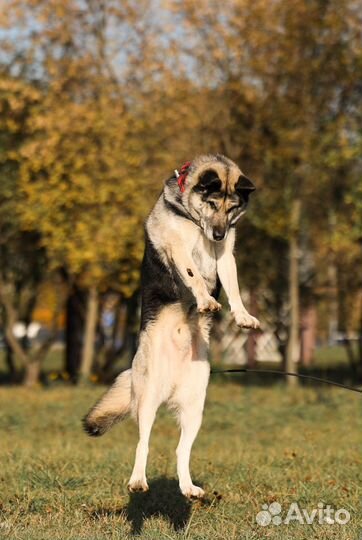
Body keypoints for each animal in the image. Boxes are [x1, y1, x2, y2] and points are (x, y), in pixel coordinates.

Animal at [84, 153, 260, 498]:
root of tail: (171, 386)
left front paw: (242, 316)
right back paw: (138, 481)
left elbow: (233, 286)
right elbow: (194, 275)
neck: (195, 220)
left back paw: (188, 487)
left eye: (232, 207)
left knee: (182, 450)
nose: (218, 234)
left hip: (194, 408)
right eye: (211, 202)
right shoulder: (178, 248)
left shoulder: (226, 254)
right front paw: (205, 300)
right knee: (143, 442)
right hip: (149, 398)